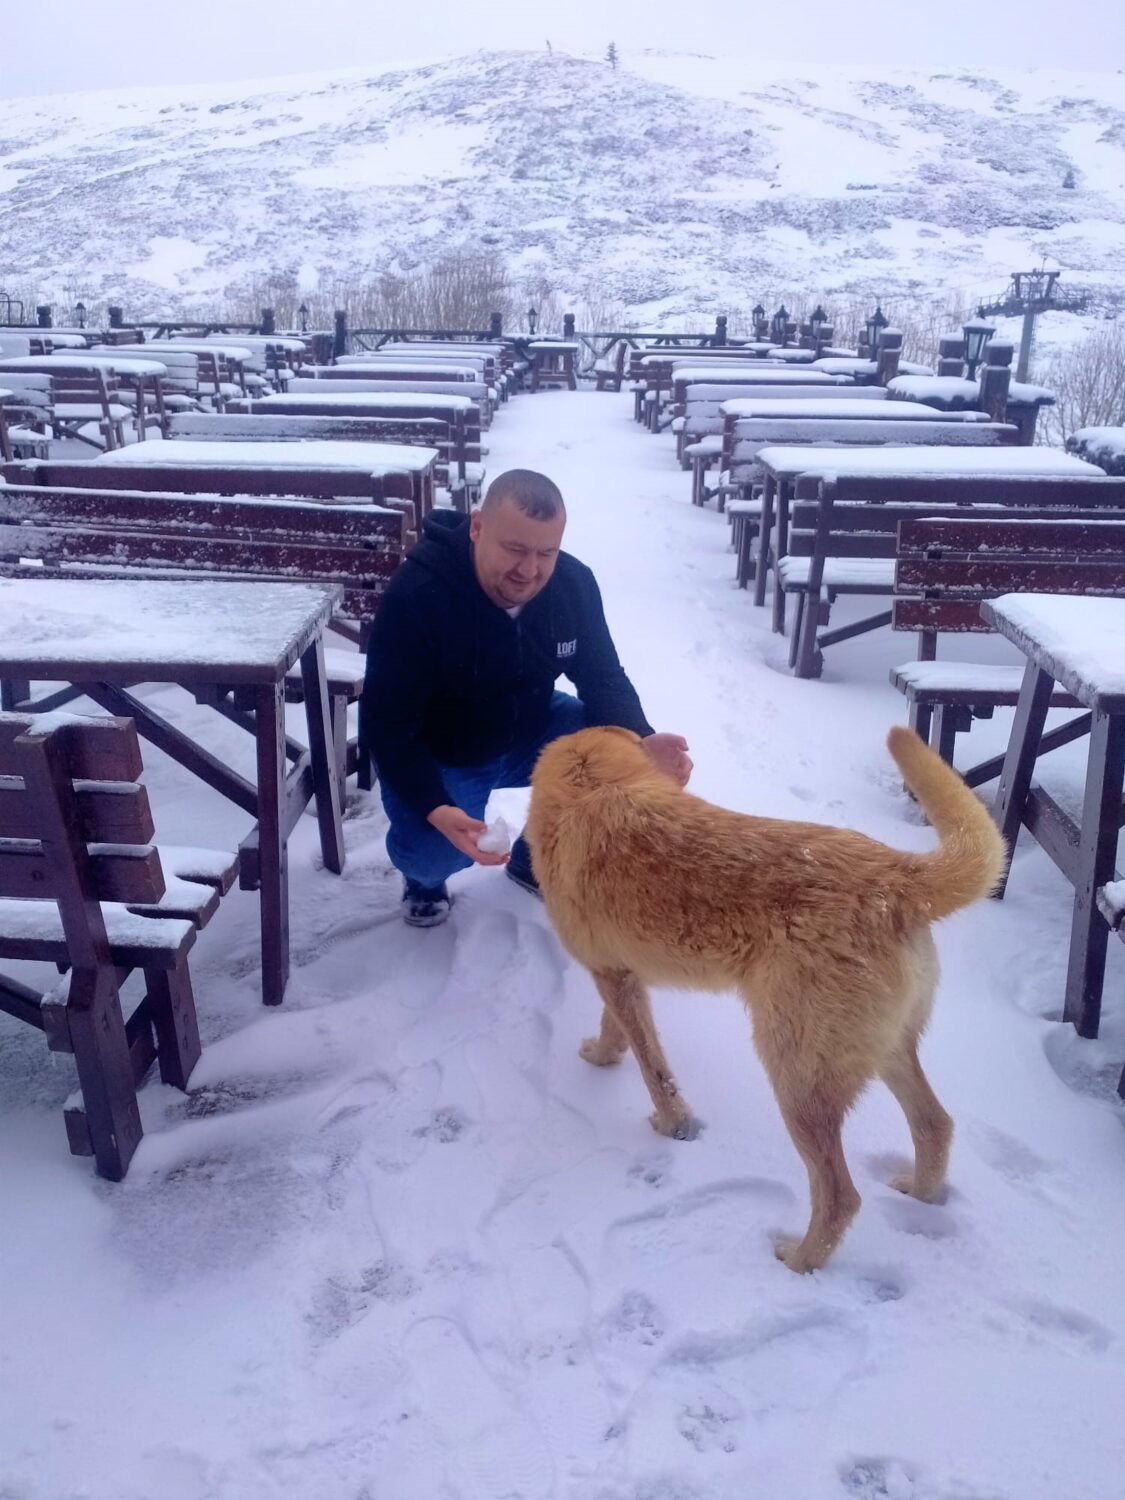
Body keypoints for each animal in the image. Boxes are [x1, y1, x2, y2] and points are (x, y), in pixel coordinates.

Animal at [525, 720, 1008, 1272]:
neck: (592, 788)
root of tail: (894, 875)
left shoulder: (612, 975)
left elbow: (653, 1070)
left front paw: (664, 1117)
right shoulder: (624, 974)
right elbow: (625, 1035)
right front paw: (612, 1057)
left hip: (795, 1078)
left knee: (841, 1196)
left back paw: (799, 1262)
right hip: (883, 1052)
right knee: (934, 1125)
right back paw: (920, 1196)